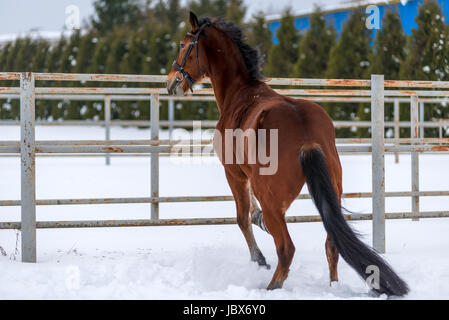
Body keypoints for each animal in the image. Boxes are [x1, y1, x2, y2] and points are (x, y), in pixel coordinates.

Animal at [166, 12, 408, 298]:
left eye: (183, 45)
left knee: (286, 248)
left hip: (272, 200)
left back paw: (271, 287)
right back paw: (332, 286)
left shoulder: (234, 173)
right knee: (331, 244)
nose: (171, 82)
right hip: (331, 193)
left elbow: (242, 218)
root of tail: (306, 136)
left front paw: (259, 258)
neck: (240, 93)